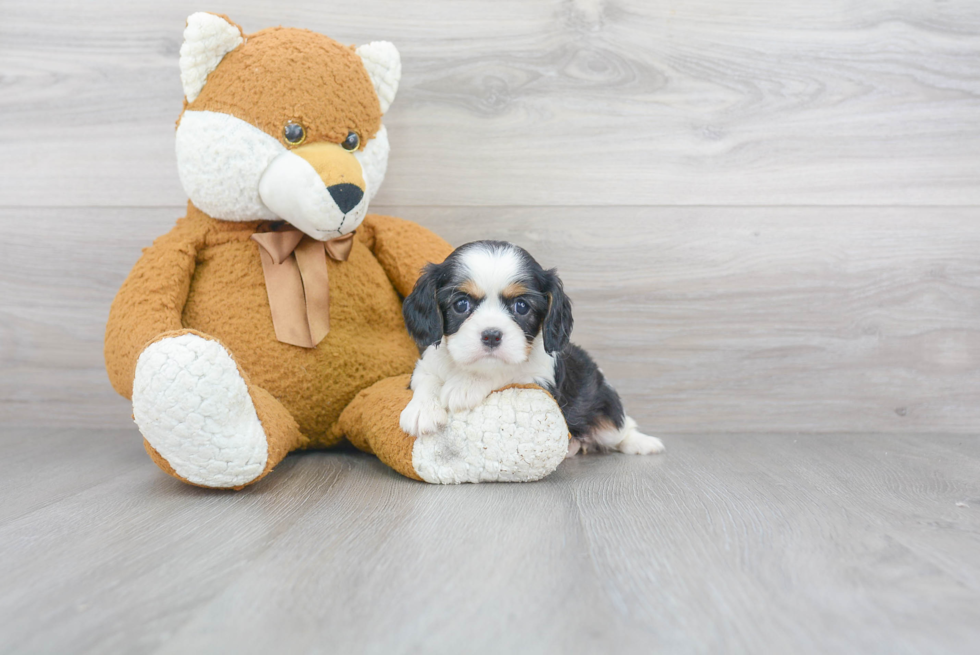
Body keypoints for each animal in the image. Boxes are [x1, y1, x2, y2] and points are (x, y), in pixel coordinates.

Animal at [400, 238, 668, 458]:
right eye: (461, 304)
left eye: (521, 306)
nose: (491, 335)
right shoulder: (426, 365)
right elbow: (427, 380)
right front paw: (422, 410)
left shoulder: (540, 380)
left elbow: (507, 371)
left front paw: (466, 385)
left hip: (604, 410)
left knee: (621, 429)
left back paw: (642, 443)